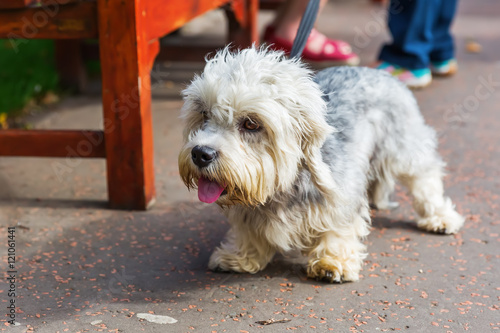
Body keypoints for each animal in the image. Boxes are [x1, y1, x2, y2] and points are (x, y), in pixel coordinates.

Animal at [177, 46, 464, 282]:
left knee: (426, 178)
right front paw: (241, 256)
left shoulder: (343, 197)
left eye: (251, 123)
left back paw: (439, 217)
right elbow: (249, 232)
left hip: (404, 148)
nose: (201, 153)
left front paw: (332, 261)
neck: (285, 185)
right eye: (204, 113)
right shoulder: (248, 210)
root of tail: (380, 72)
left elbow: (338, 227)